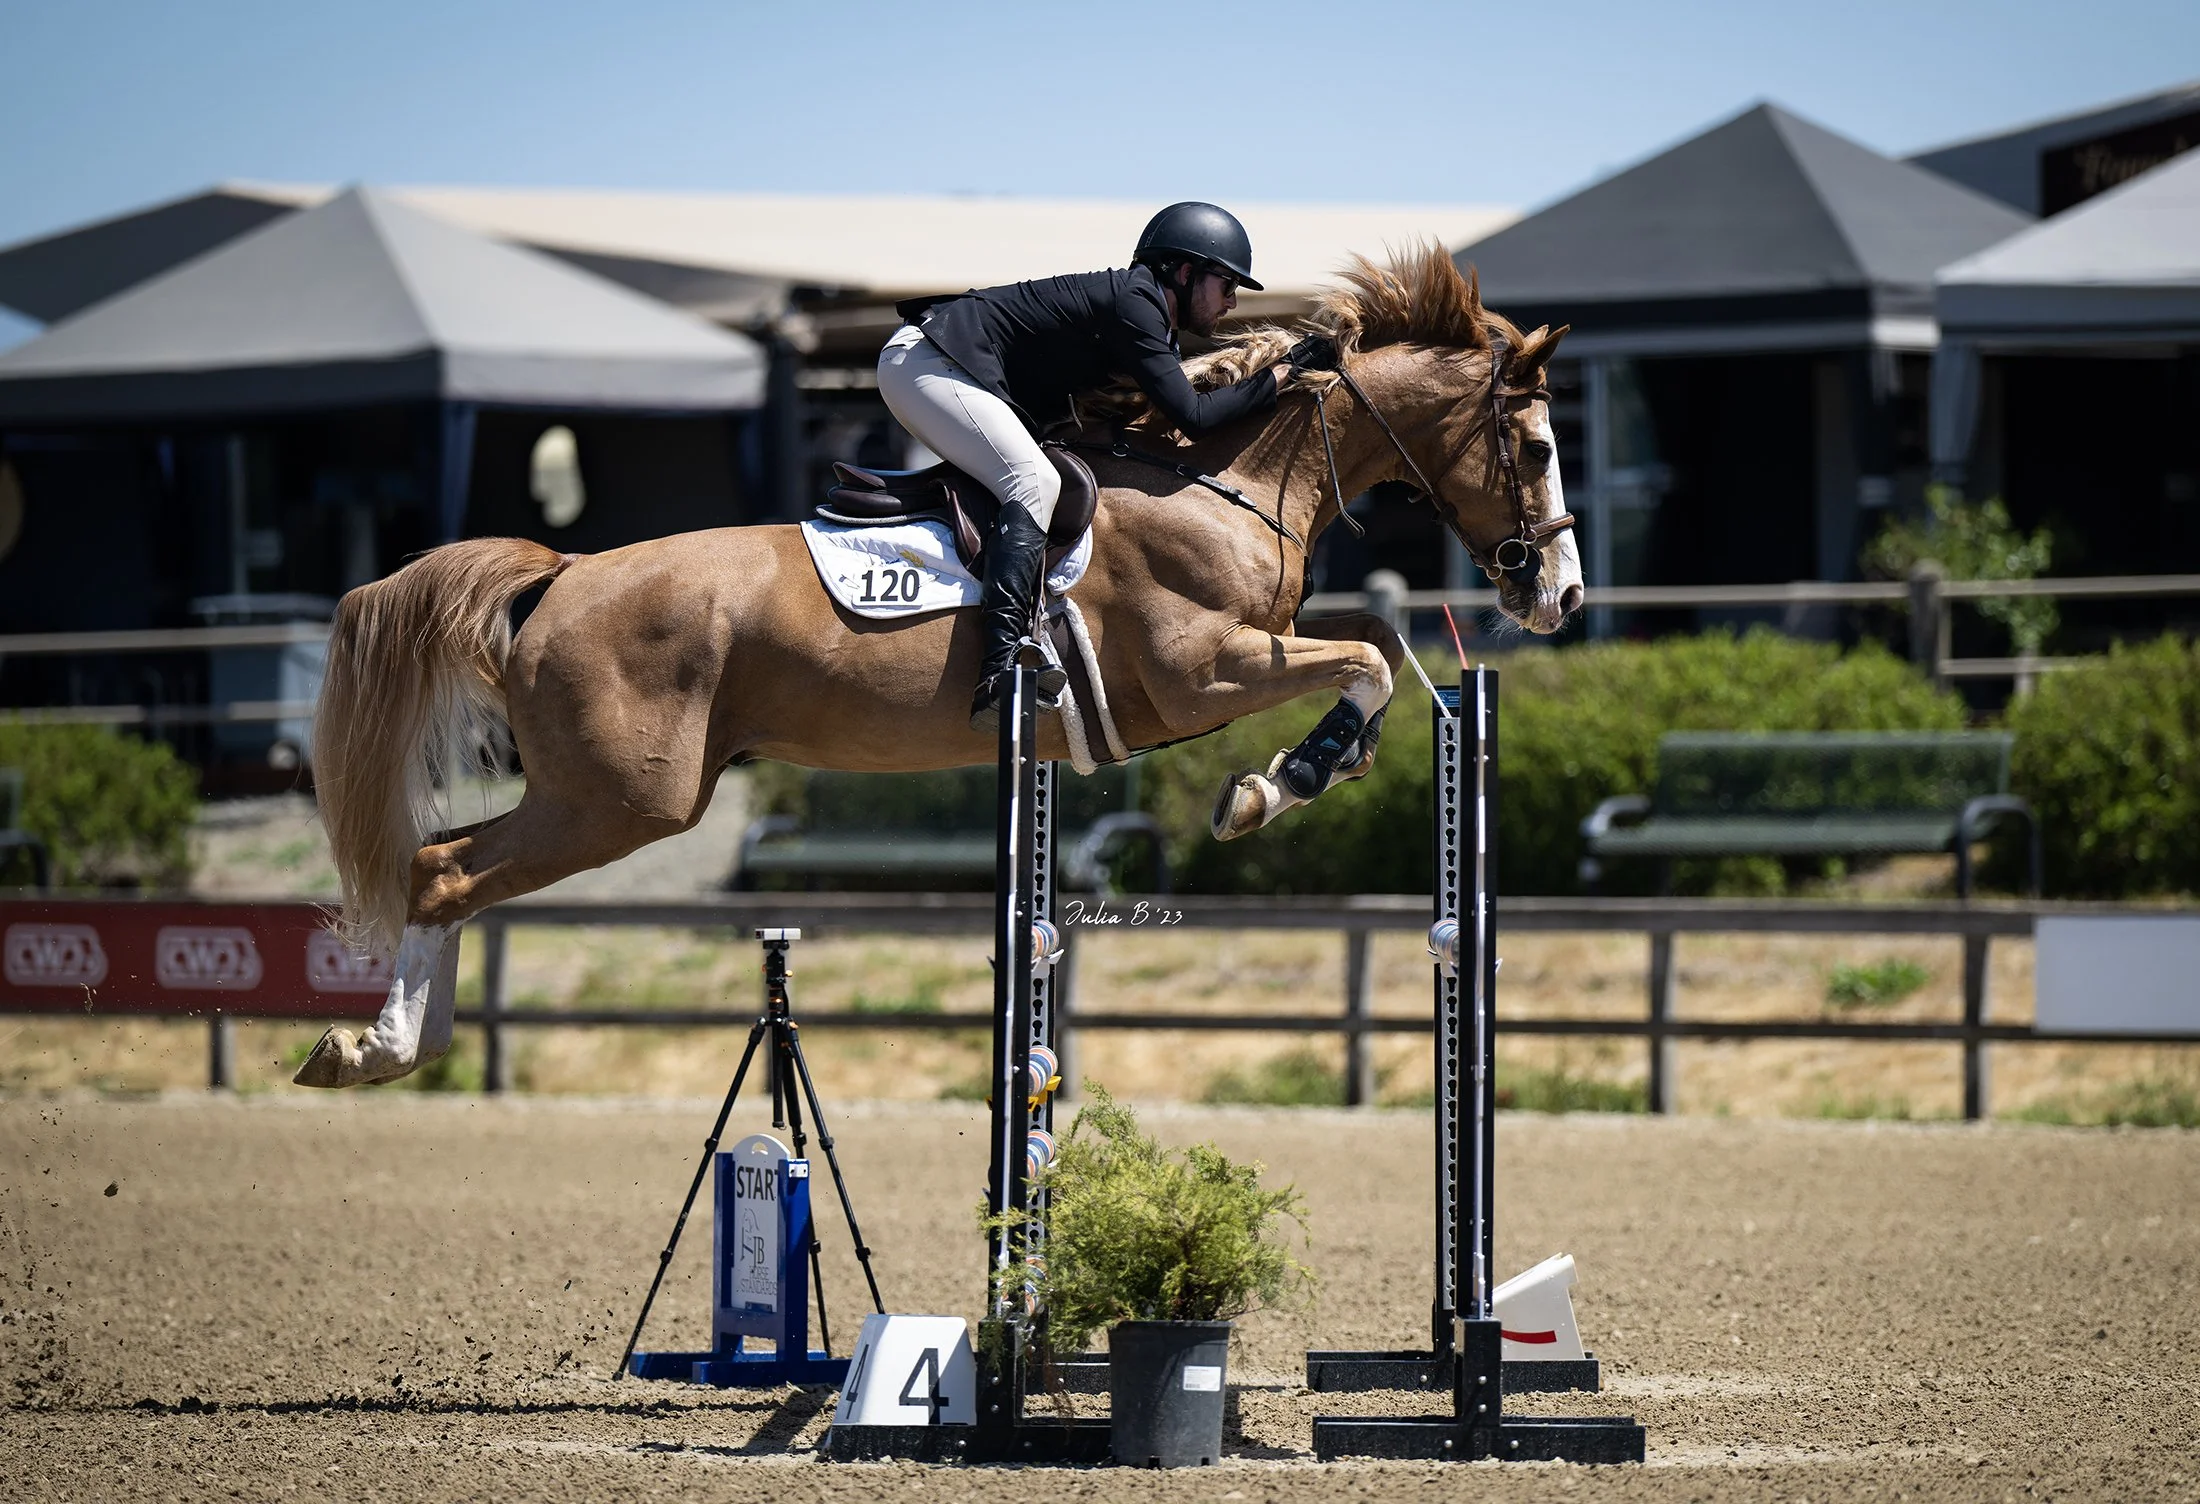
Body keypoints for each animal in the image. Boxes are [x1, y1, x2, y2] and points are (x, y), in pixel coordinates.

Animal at [293, 244, 1579, 1089]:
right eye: (1534, 446)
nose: (1558, 596)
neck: (1226, 482)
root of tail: (559, 574)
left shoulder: (1219, 673)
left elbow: (1372, 663)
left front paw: (1297, 777)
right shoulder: (1201, 671)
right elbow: (1367, 656)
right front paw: (1276, 786)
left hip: (602, 794)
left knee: (446, 868)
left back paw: (391, 1046)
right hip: (622, 798)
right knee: (443, 872)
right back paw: (381, 1047)